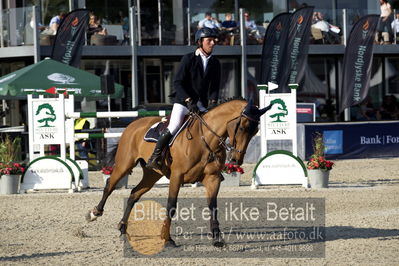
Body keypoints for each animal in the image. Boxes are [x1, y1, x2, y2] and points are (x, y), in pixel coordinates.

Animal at [85, 99, 270, 247]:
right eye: (242, 127)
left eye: (255, 131)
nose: (236, 160)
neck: (205, 139)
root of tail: (132, 124)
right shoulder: (176, 176)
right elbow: (171, 206)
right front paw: (167, 239)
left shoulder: (212, 179)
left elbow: (213, 206)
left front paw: (217, 239)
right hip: (124, 164)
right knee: (109, 186)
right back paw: (94, 214)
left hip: (152, 174)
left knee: (134, 194)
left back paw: (123, 228)